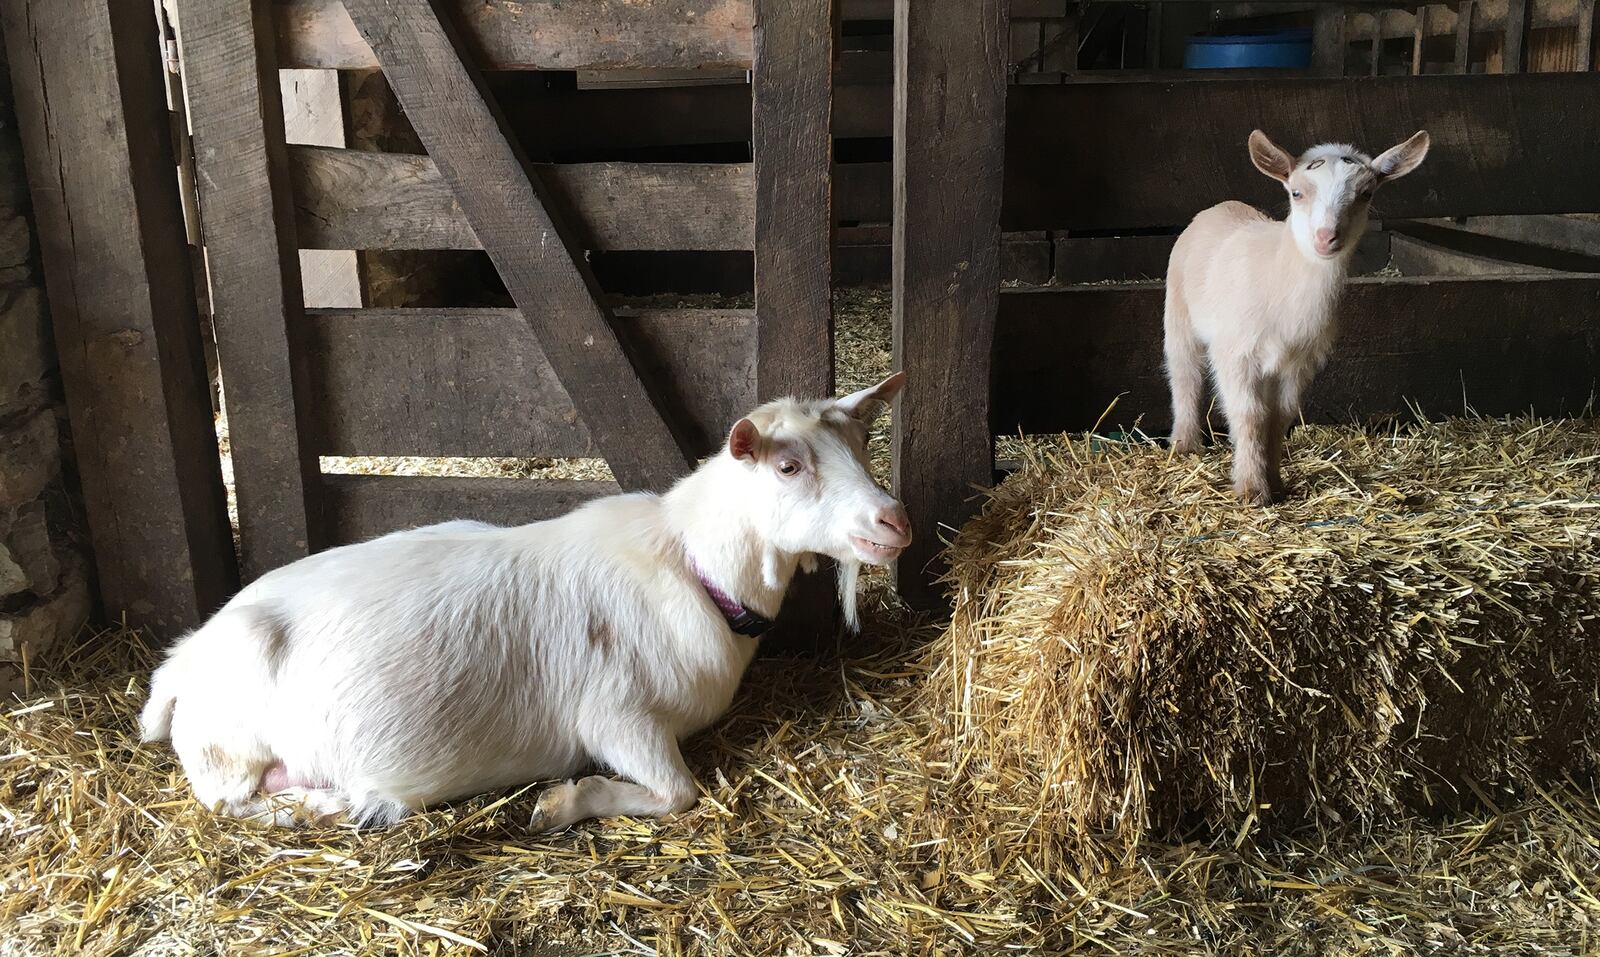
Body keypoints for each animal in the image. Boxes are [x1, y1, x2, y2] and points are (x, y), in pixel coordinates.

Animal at [140, 374, 915, 832]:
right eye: (788, 466)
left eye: (861, 442)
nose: (895, 521)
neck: (694, 566)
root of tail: (177, 667)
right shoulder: (617, 717)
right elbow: (679, 793)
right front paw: (561, 802)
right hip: (232, 746)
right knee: (235, 800)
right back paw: (343, 801)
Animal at [1164, 130, 1440, 505]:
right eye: (1297, 192)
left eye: (1366, 193)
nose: (1326, 237)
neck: (1280, 277)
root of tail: (1220, 206)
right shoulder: (1235, 352)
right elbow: (1248, 414)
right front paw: (1251, 489)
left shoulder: (1300, 359)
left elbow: (1279, 416)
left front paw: (1275, 483)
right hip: (1178, 310)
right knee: (1184, 374)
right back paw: (1185, 444)